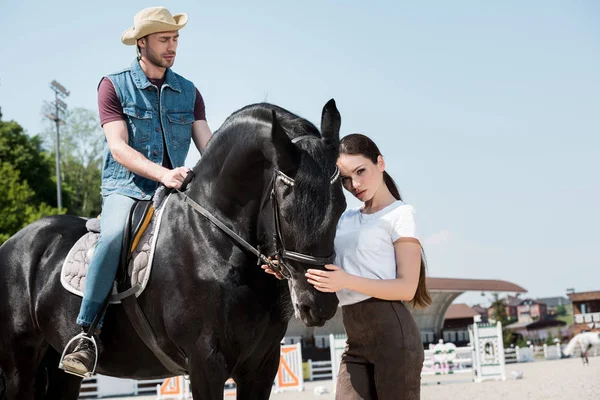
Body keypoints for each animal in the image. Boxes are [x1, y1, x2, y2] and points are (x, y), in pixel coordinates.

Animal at [0, 100, 344, 400]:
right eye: (286, 211)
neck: (215, 241)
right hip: (19, 364)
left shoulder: (262, 365)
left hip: (59, 368)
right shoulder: (205, 363)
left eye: (340, 206)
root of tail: (13, 243)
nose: (320, 305)